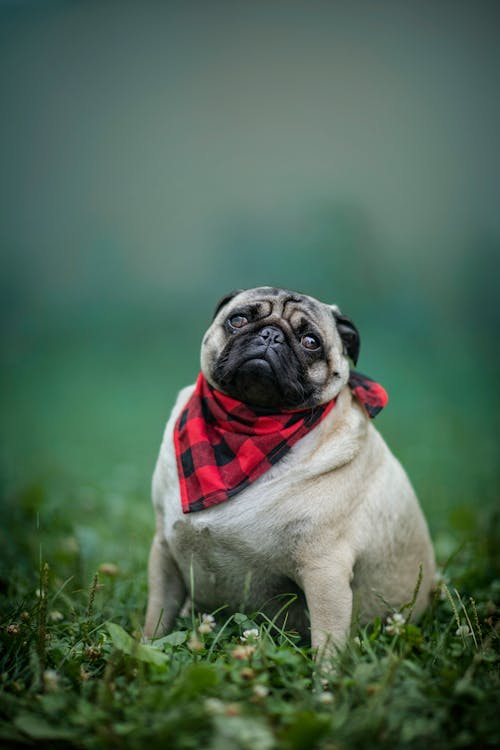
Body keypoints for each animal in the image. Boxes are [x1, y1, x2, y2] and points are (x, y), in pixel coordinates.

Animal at [144, 288, 434, 656]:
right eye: (238, 319)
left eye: (311, 341)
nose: (271, 334)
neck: (249, 427)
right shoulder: (164, 553)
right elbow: (156, 619)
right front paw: (142, 651)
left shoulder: (325, 573)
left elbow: (327, 645)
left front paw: (325, 674)